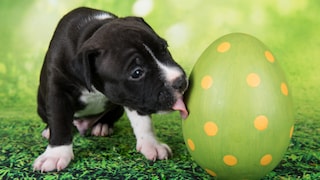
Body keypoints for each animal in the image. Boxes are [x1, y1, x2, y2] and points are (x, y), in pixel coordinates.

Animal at [33, 7, 188, 172]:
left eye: (165, 48)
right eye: (137, 72)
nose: (180, 81)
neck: (91, 31)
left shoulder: (132, 97)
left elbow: (143, 120)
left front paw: (151, 144)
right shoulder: (58, 90)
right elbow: (59, 120)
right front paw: (55, 154)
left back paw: (103, 125)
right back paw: (49, 130)